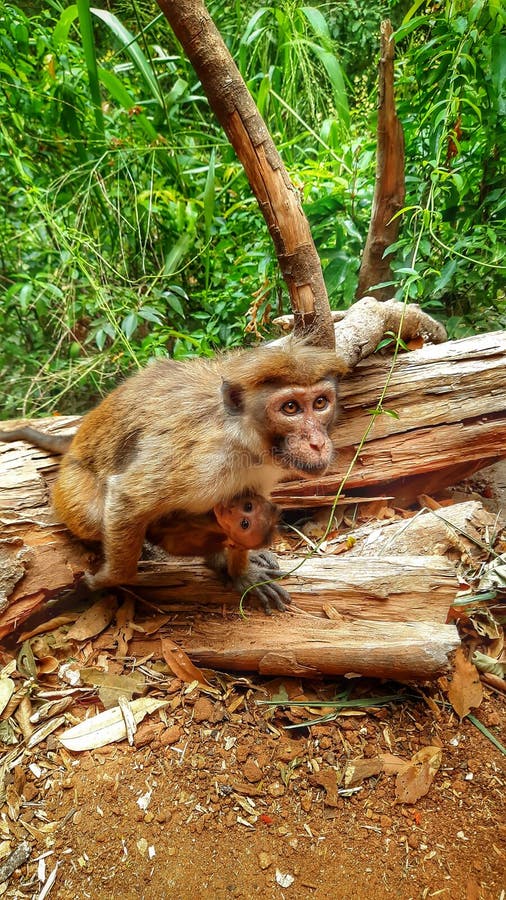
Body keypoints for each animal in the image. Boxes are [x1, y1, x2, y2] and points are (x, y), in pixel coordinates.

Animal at [1, 342, 340, 612]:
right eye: (290, 408)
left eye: (320, 403)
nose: (317, 443)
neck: (244, 440)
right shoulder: (200, 459)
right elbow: (127, 497)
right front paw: (107, 579)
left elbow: (251, 509)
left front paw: (241, 571)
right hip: (71, 487)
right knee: (92, 516)